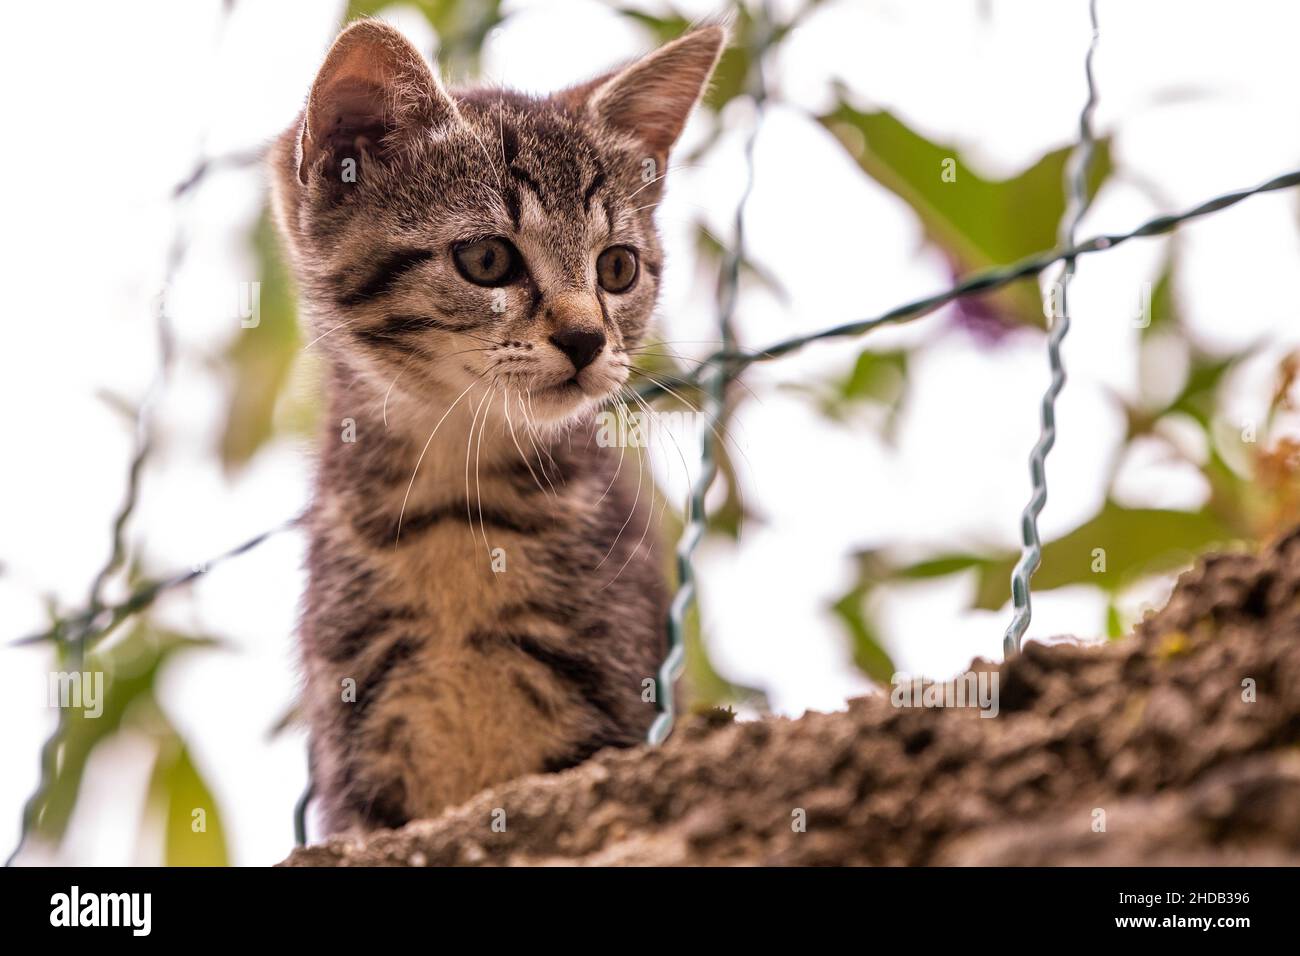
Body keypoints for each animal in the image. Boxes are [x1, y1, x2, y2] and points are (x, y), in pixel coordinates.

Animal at [269, 18, 728, 832]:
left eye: (617, 268)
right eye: (486, 258)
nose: (586, 339)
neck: (464, 494)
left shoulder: (615, 690)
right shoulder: (355, 716)